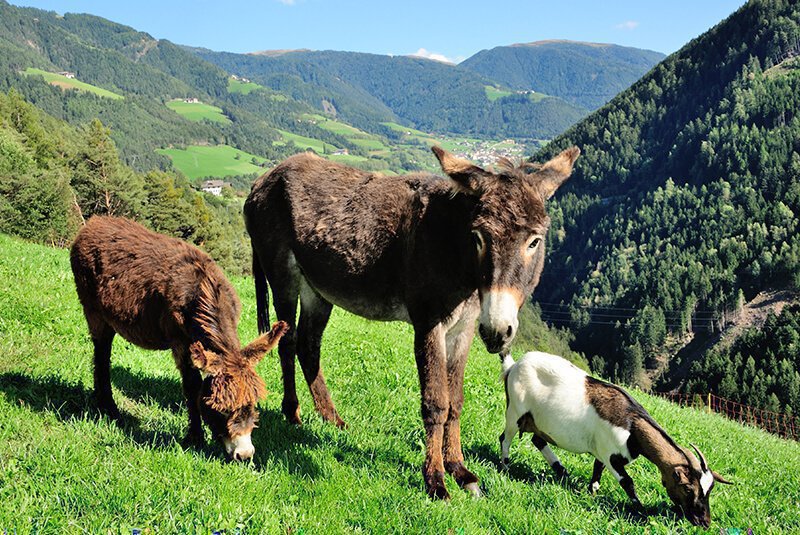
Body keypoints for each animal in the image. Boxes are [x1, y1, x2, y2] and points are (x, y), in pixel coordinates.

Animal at [500, 350, 732, 528]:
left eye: (710, 490)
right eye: (687, 488)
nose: (704, 522)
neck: (633, 426)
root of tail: (514, 366)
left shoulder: (601, 452)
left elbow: (596, 474)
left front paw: (591, 495)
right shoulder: (610, 454)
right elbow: (627, 482)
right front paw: (640, 510)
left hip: (539, 422)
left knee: (538, 441)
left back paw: (562, 472)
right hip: (516, 412)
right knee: (505, 437)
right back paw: (505, 467)